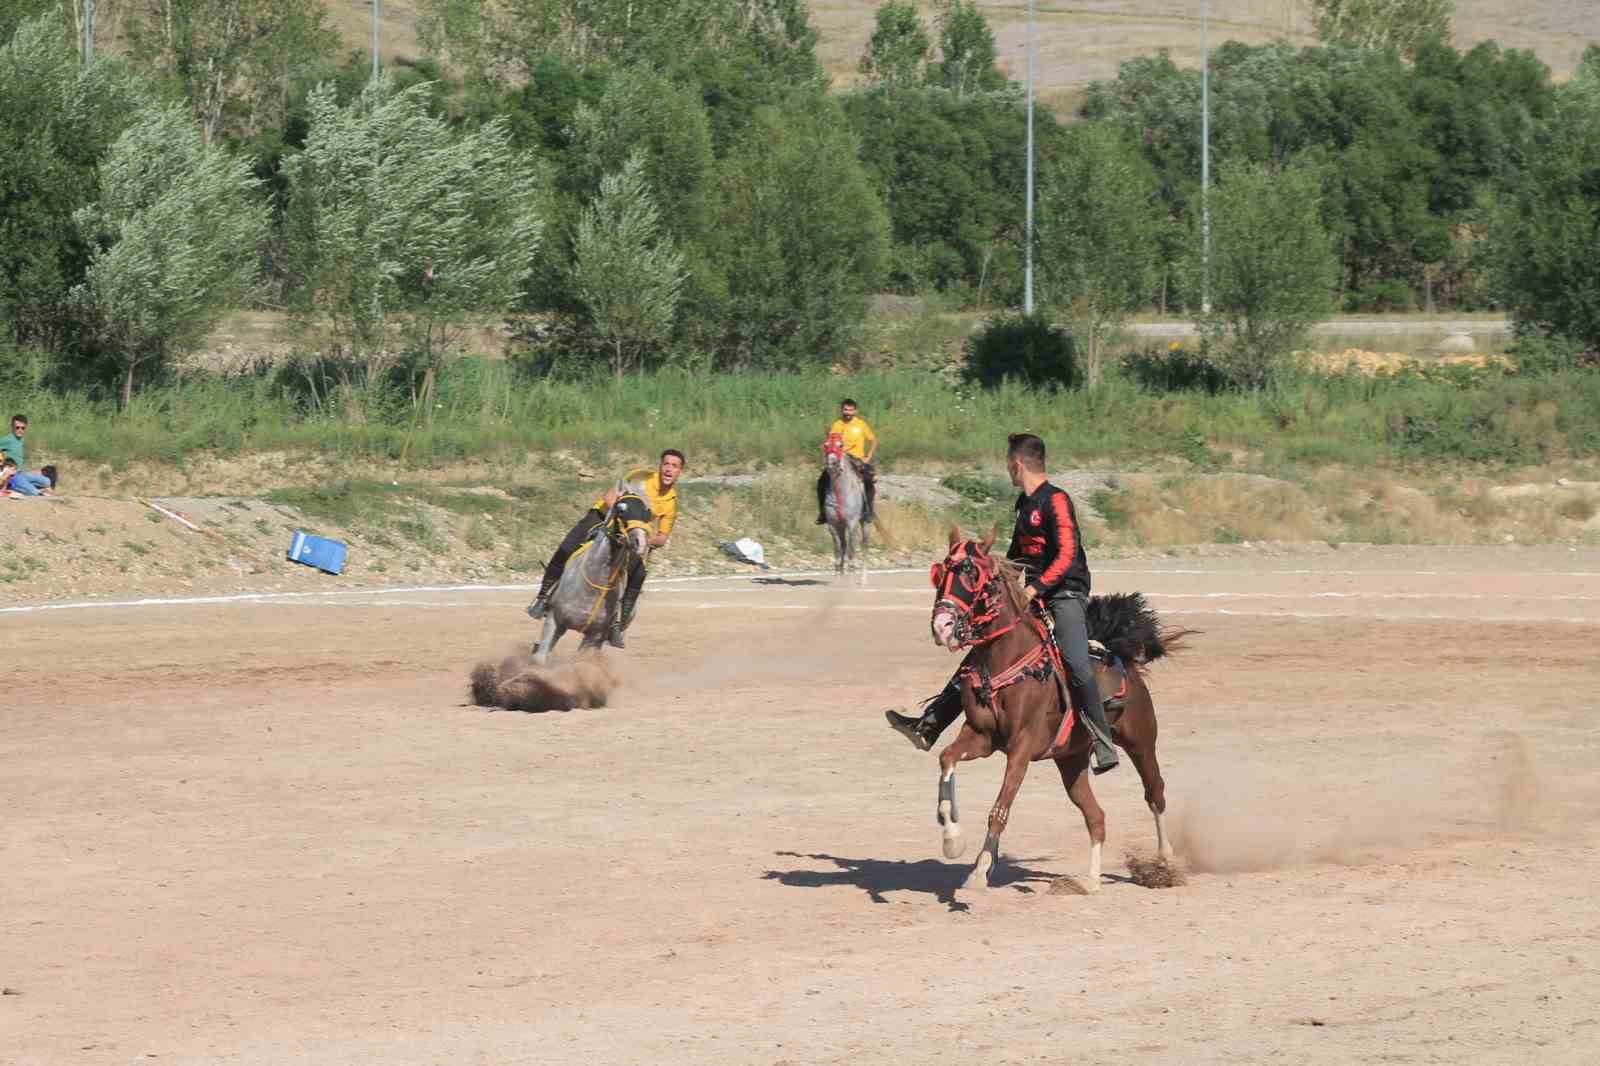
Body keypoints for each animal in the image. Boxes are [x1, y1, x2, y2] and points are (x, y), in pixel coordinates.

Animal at [528, 489, 646, 665]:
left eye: (648, 514)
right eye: (621, 509)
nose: (640, 542)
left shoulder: (593, 635)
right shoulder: (554, 621)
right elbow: (540, 657)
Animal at [825, 441, 876, 589]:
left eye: (840, 445)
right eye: (826, 445)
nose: (832, 463)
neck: (840, 492)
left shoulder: (852, 524)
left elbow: (851, 552)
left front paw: (851, 580)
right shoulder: (833, 526)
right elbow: (837, 551)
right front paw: (837, 579)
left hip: (865, 523)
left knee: (864, 546)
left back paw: (863, 580)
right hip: (841, 527)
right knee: (843, 545)